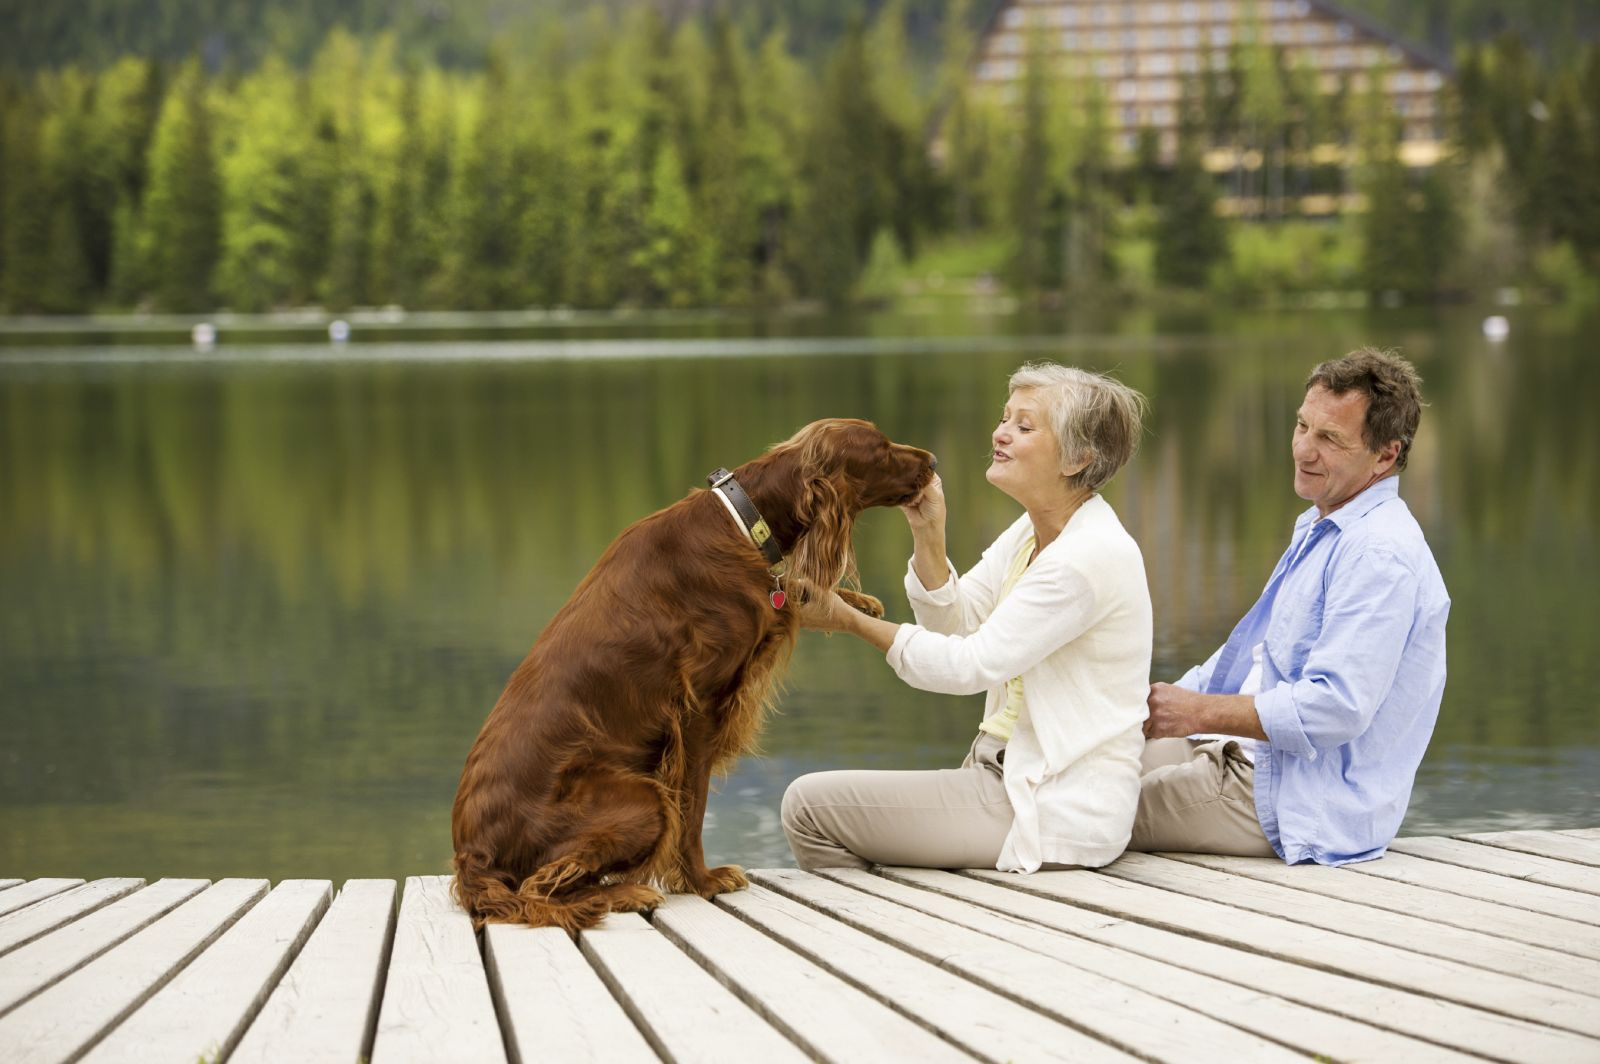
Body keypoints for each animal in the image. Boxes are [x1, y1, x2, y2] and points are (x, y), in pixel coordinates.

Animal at [448, 416, 934, 928]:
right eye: (881, 450)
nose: (933, 461)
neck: (744, 519)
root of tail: (470, 856)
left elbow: (794, 586)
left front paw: (858, 602)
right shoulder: (699, 706)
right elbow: (693, 806)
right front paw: (701, 880)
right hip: (642, 800)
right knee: (539, 888)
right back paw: (626, 894)